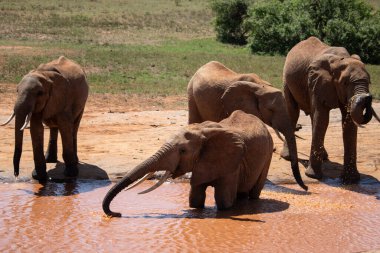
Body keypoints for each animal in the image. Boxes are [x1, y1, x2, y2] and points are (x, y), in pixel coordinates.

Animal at [101, 110, 274, 217]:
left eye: (183, 151)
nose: (117, 213)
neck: (203, 131)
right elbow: (195, 199)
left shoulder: (232, 164)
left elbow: (224, 202)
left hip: (268, 154)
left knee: (254, 192)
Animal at [284, 36, 378, 183]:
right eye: (345, 83)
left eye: (369, 82)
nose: (367, 97)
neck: (341, 60)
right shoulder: (318, 82)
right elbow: (322, 119)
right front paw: (312, 176)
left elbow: (348, 122)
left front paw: (350, 180)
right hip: (287, 80)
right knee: (293, 112)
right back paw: (288, 157)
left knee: (312, 117)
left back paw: (324, 157)